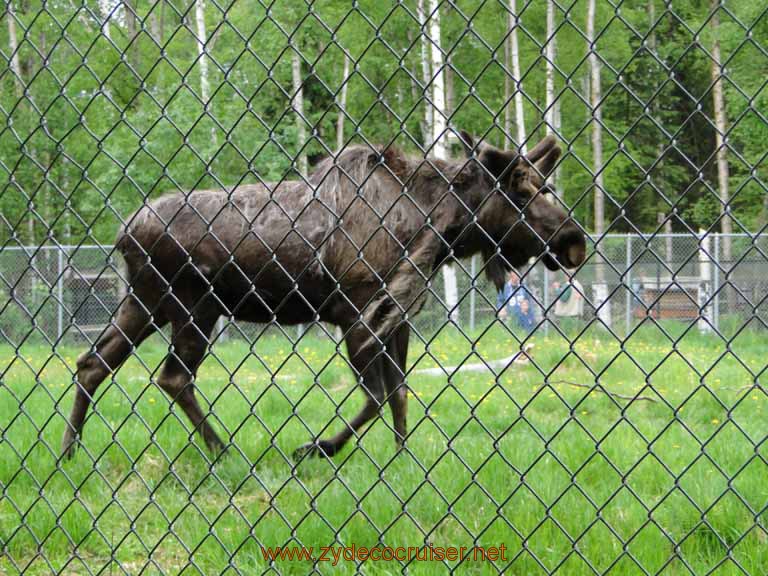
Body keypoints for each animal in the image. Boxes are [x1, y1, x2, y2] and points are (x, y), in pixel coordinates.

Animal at [60, 133, 588, 462]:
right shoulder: (356, 313)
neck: (436, 227)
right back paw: (223, 451)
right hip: (194, 308)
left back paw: (69, 451)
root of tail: (124, 234)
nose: (574, 240)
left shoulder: (395, 318)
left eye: (545, 186)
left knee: (92, 364)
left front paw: (403, 457)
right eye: (521, 193)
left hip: (146, 304)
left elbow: (399, 394)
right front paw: (317, 448)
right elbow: (375, 397)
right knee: (171, 377)